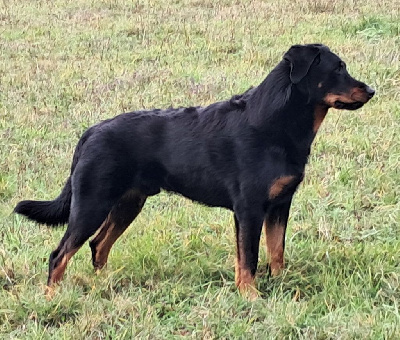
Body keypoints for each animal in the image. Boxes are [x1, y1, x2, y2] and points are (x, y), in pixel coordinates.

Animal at [14, 44, 374, 298]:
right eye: (338, 68)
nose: (371, 90)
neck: (276, 122)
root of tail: (90, 132)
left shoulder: (279, 205)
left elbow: (276, 251)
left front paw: (281, 283)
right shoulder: (249, 209)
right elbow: (249, 258)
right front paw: (251, 296)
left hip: (128, 203)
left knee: (98, 245)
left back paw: (105, 283)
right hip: (92, 204)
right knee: (59, 254)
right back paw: (50, 298)